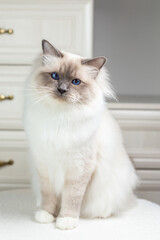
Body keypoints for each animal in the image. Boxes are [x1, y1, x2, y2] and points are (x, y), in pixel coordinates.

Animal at [24, 39, 138, 231]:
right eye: (55, 76)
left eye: (76, 81)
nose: (62, 90)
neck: (60, 118)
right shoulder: (44, 166)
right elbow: (48, 196)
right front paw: (47, 216)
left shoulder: (79, 169)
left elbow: (72, 198)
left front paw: (66, 220)